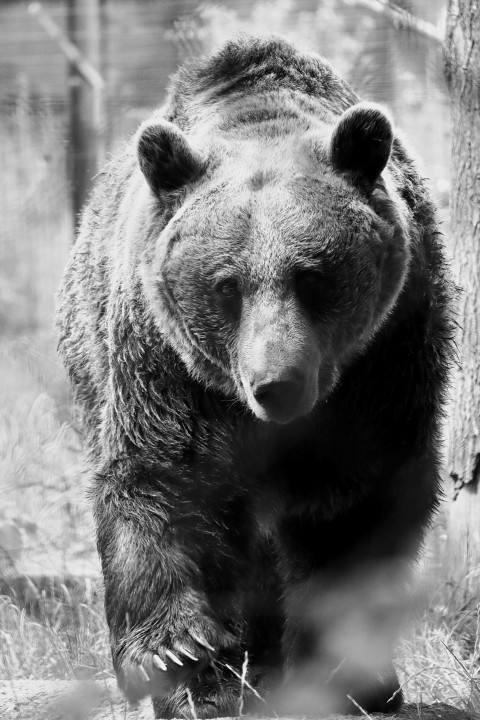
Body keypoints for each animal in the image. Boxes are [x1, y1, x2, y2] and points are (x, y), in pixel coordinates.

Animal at [56, 32, 454, 716]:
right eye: (227, 284)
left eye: (313, 276)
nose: (277, 385)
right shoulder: (168, 367)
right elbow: (166, 481)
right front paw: (179, 655)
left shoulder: (386, 356)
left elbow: (358, 502)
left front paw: (347, 668)